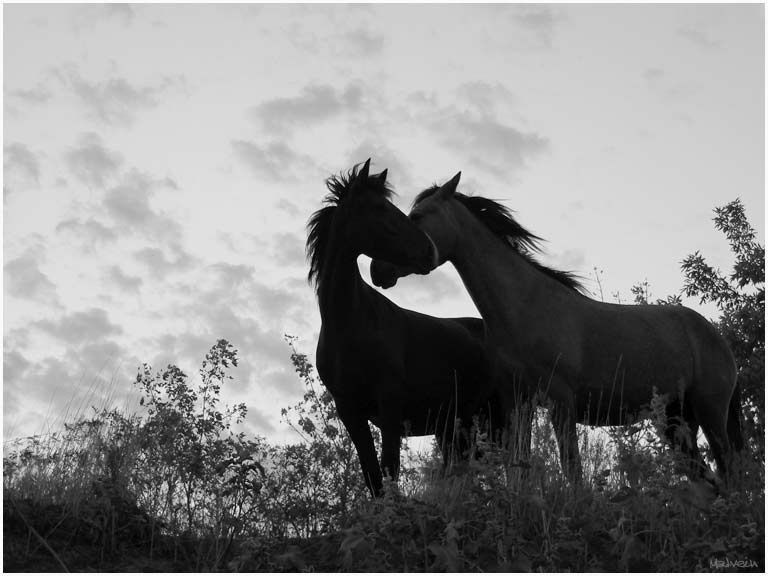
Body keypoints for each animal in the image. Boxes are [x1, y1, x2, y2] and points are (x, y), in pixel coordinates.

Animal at [306, 161, 498, 496]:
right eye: (380, 208)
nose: (428, 250)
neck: (350, 325)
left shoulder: (390, 408)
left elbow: (390, 472)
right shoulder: (351, 413)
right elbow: (374, 478)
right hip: (455, 427)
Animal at [372, 171, 744, 482]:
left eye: (417, 217)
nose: (378, 270)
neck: (526, 307)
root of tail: (716, 336)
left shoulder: (561, 402)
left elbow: (572, 470)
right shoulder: (517, 402)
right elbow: (518, 469)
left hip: (710, 413)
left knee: (731, 476)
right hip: (676, 421)